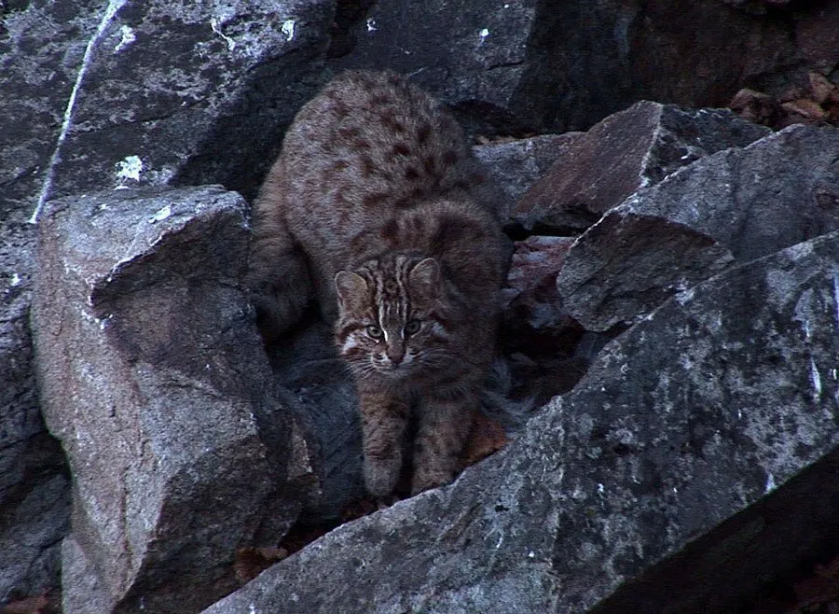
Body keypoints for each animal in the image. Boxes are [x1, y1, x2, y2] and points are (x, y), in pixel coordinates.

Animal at [243, 68, 506, 500]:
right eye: (373, 330)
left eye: (413, 326)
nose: (396, 355)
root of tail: (348, 76)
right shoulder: (372, 369)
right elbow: (379, 407)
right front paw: (382, 470)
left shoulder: (462, 375)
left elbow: (443, 432)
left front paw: (430, 481)